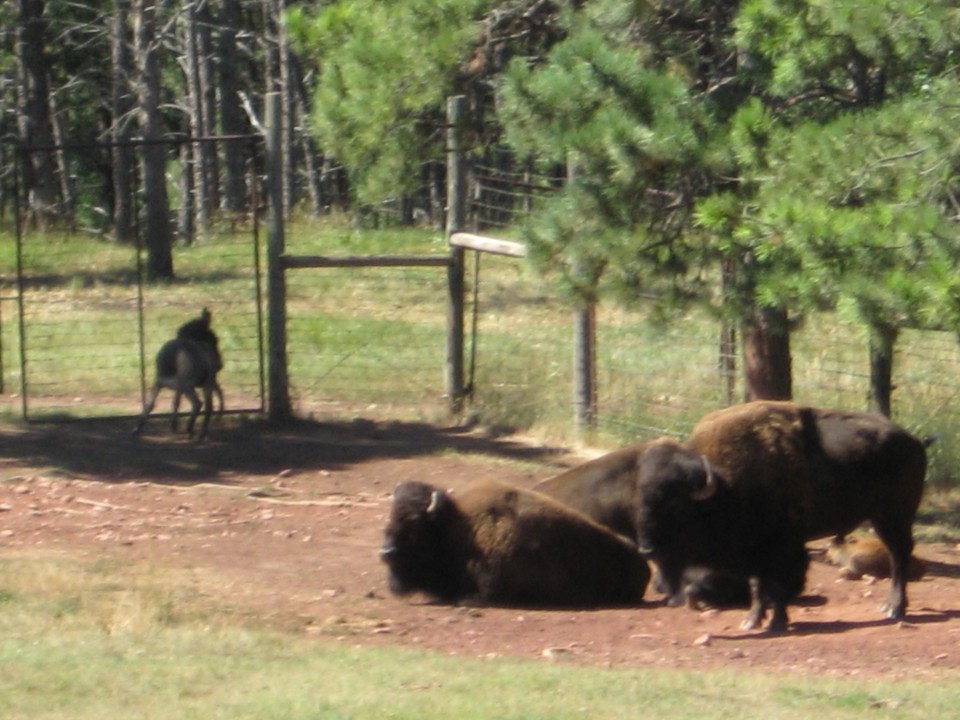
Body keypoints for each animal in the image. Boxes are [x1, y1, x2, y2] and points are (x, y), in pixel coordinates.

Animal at [632, 402, 928, 632]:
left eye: (674, 503)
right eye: (642, 498)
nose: (647, 549)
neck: (725, 483)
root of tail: (915, 442)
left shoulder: (781, 548)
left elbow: (776, 586)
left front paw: (776, 623)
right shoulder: (757, 551)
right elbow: (758, 585)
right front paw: (752, 621)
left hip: (894, 516)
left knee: (899, 556)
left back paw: (894, 608)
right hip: (881, 517)